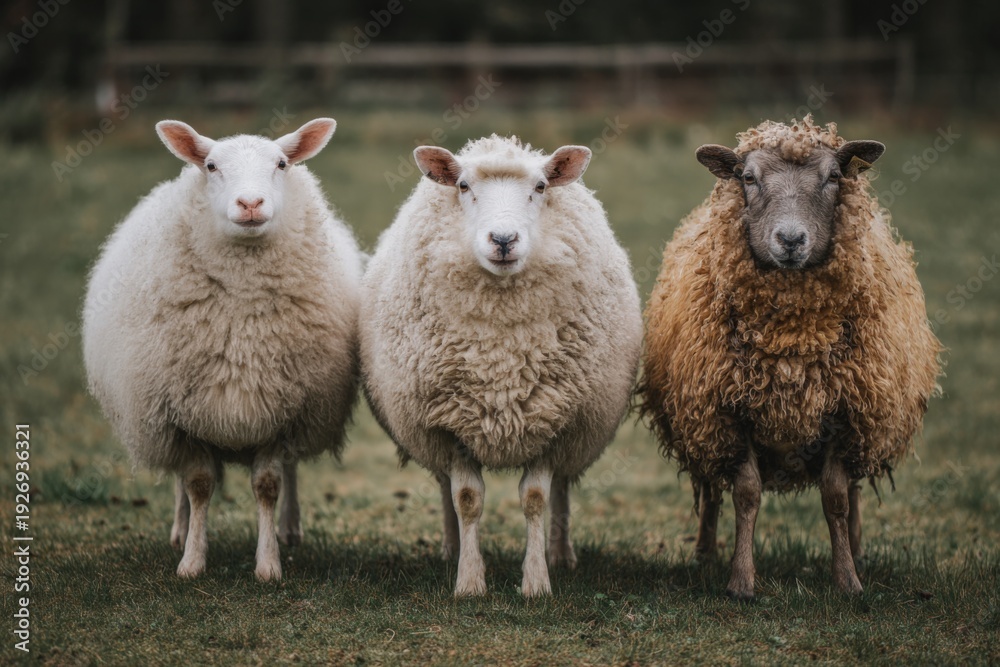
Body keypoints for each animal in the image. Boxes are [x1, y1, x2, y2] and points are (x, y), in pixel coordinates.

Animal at [83, 118, 363, 581]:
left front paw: (268, 564)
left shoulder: (281, 412)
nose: (250, 202)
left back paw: (290, 530)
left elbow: (268, 485)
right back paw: (180, 529)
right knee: (180, 482)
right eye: (211, 166)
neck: (242, 309)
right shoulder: (180, 415)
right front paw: (192, 560)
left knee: (290, 471)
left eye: (282, 163)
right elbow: (197, 484)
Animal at [360, 135, 642, 597]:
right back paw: (452, 549)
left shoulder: (553, 418)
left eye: (541, 187)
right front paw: (470, 581)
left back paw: (561, 554)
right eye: (462, 186)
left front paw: (537, 582)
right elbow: (466, 499)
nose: (504, 239)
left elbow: (536, 499)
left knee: (562, 488)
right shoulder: (449, 422)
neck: (502, 351)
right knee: (445, 487)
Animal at [638, 116, 941, 599]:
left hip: (868, 420)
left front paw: (847, 579)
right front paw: (741, 581)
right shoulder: (730, 411)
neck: (791, 343)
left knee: (854, 490)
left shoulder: (846, 412)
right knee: (710, 488)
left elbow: (836, 497)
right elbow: (746, 494)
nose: (791, 239)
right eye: (748, 178)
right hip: (702, 424)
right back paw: (704, 554)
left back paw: (857, 549)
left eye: (833, 177)